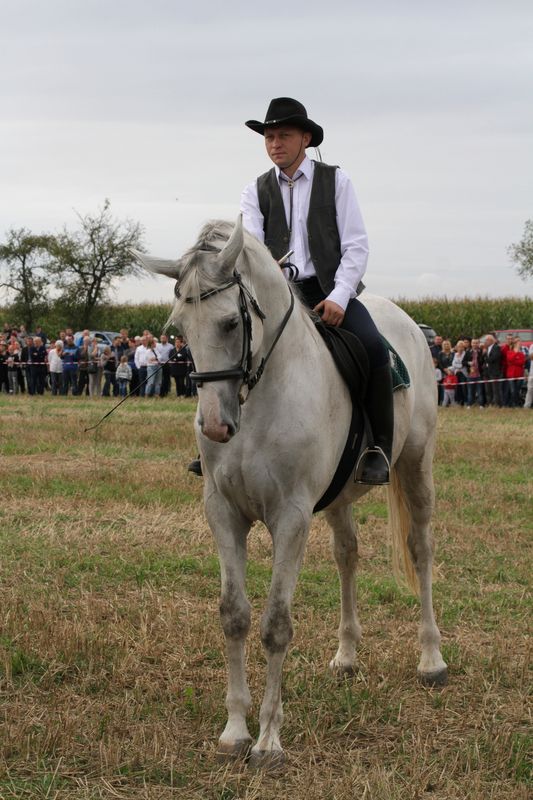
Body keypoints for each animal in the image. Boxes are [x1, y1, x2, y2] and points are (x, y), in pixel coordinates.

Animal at [132, 217, 444, 768]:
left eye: (230, 324)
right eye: (180, 328)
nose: (215, 427)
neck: (259, 400)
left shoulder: (291, 518)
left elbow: (276, 624)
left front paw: (268, 741)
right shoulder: (223, 513)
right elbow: (234, 616)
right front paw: (234, 731)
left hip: (415, 464)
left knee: (420, 548)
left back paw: (431, 659)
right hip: (339, 499)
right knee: (347, 555)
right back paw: (346, 655)